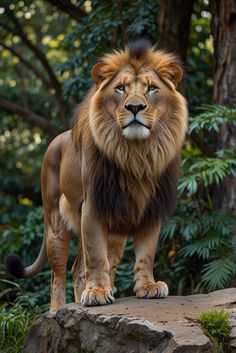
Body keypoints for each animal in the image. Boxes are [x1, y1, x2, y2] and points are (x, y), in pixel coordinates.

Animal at [5, 39, 188, 310]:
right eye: (121, 88)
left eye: (152, 88)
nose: (135, 107)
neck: (135, 153)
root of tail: (55, 140)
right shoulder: (93, 206)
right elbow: (96, 258)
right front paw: (97, 292)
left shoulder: (149, 209)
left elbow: (145, 254)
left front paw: (147, 287)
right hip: (56, 224)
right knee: (58, 274)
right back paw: (59, 311)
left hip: (116, 228)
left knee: (80, 267)